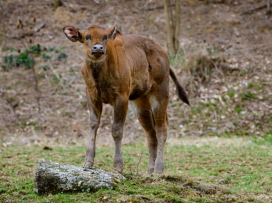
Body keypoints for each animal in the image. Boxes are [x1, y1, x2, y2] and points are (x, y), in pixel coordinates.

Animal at [63, 25, 189, 174]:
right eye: (87, 36)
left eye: (105, 37)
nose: (98, 48)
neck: (100, 77)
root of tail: (164, 54)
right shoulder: (92, 95)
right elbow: (94, 124)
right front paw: (88, 161)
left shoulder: (121, 97)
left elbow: (117, 130)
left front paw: (118, 165)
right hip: (140, 103)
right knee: (151, 134)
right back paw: (150, 170)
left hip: (161, 93)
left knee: (161, 128)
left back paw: (158, 169)